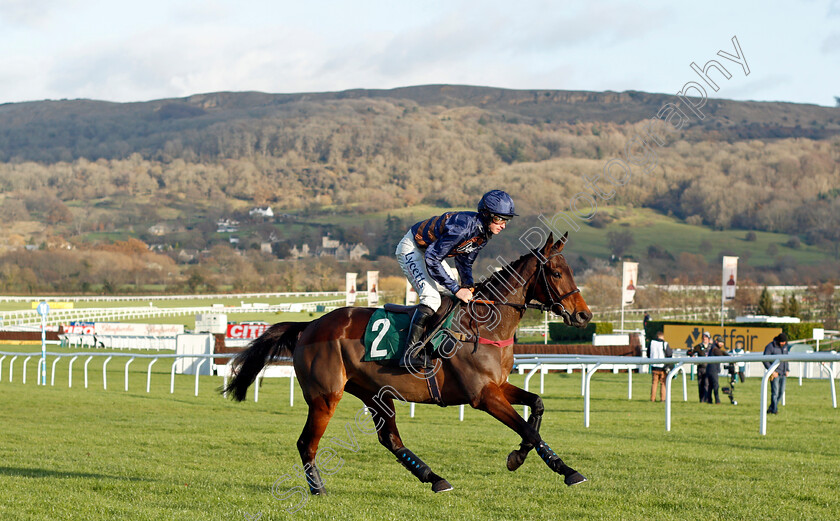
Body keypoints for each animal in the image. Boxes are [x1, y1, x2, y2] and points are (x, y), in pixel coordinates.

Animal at [223, 232, 592, 492]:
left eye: (570, 271)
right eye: (555, 272)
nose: (584, 315)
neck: (483, 326)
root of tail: (309, 326)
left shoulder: (498, 385)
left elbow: (537, 406)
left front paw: (525, 458)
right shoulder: (483, 396)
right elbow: (527, 428)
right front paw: (559, 468)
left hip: (375, 394)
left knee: (390, 440)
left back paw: (434, 478)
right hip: (325, 396)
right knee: (306, 443)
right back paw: (318, 489)